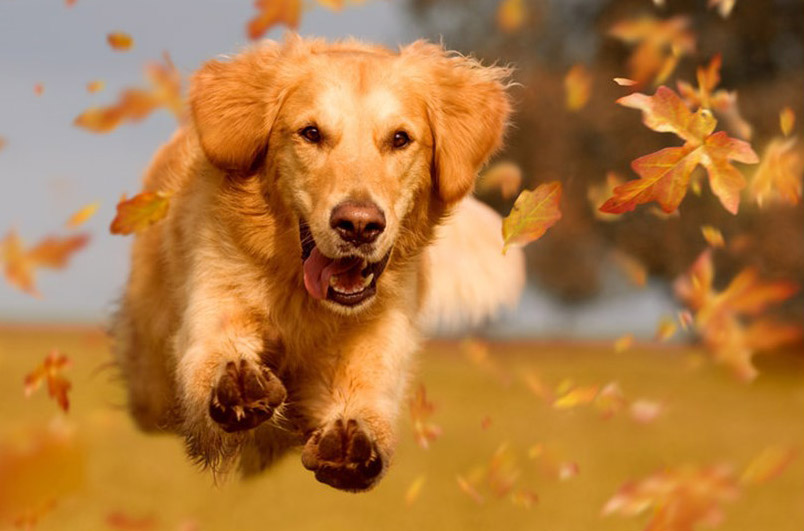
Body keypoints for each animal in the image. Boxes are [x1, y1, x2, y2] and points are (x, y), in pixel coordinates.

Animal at [114, 35, 528, 492]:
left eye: (400, 139)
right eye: (311, 133)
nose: (359, 225)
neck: (305, 304)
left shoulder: (379, 342)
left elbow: (367, 399)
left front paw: (354, 442)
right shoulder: (211, 304)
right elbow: (211, 355)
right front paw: (236, 383)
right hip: (150, 374)